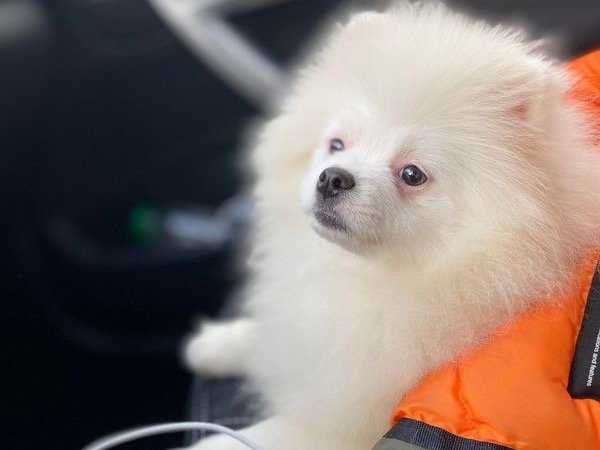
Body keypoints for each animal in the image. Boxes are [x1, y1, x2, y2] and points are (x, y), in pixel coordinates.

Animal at [184, 3, 600, 449]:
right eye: (337, 145)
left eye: (412, 174)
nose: (333, 178)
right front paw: (217, 343)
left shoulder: (344, 421)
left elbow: (257, 434)